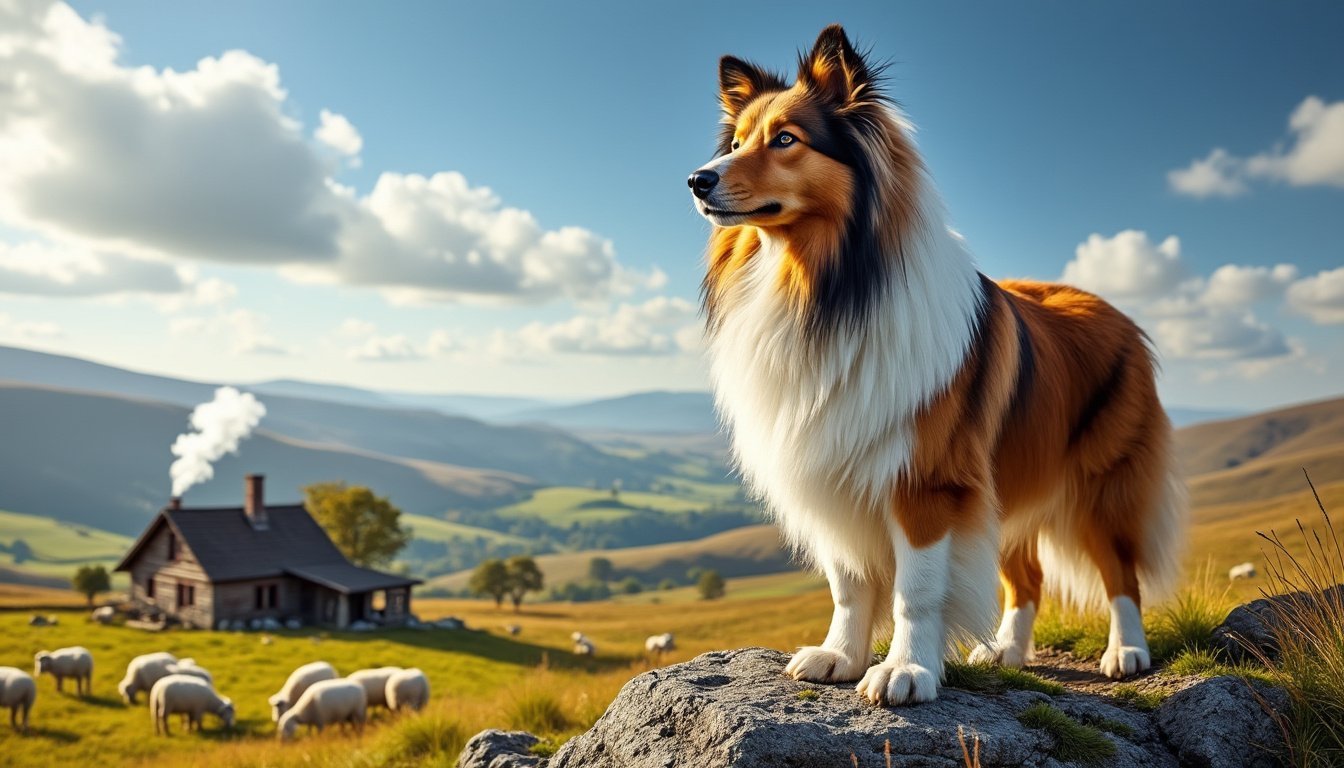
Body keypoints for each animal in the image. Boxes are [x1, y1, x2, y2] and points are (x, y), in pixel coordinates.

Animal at [693, 27, 1188, 704]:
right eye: (737, 142)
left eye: (786, 139)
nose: (697, 179)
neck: (827, 288)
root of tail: (1117, 313)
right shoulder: (836, 466)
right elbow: (850, 583)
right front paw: (839, 656)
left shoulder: (927, 482)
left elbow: (916, 591)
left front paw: (906, 671)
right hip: (1004, 482)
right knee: (1027, 577)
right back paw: (1006, 650)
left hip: (1100, 486)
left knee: (1121, 572)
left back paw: (1127, 651)